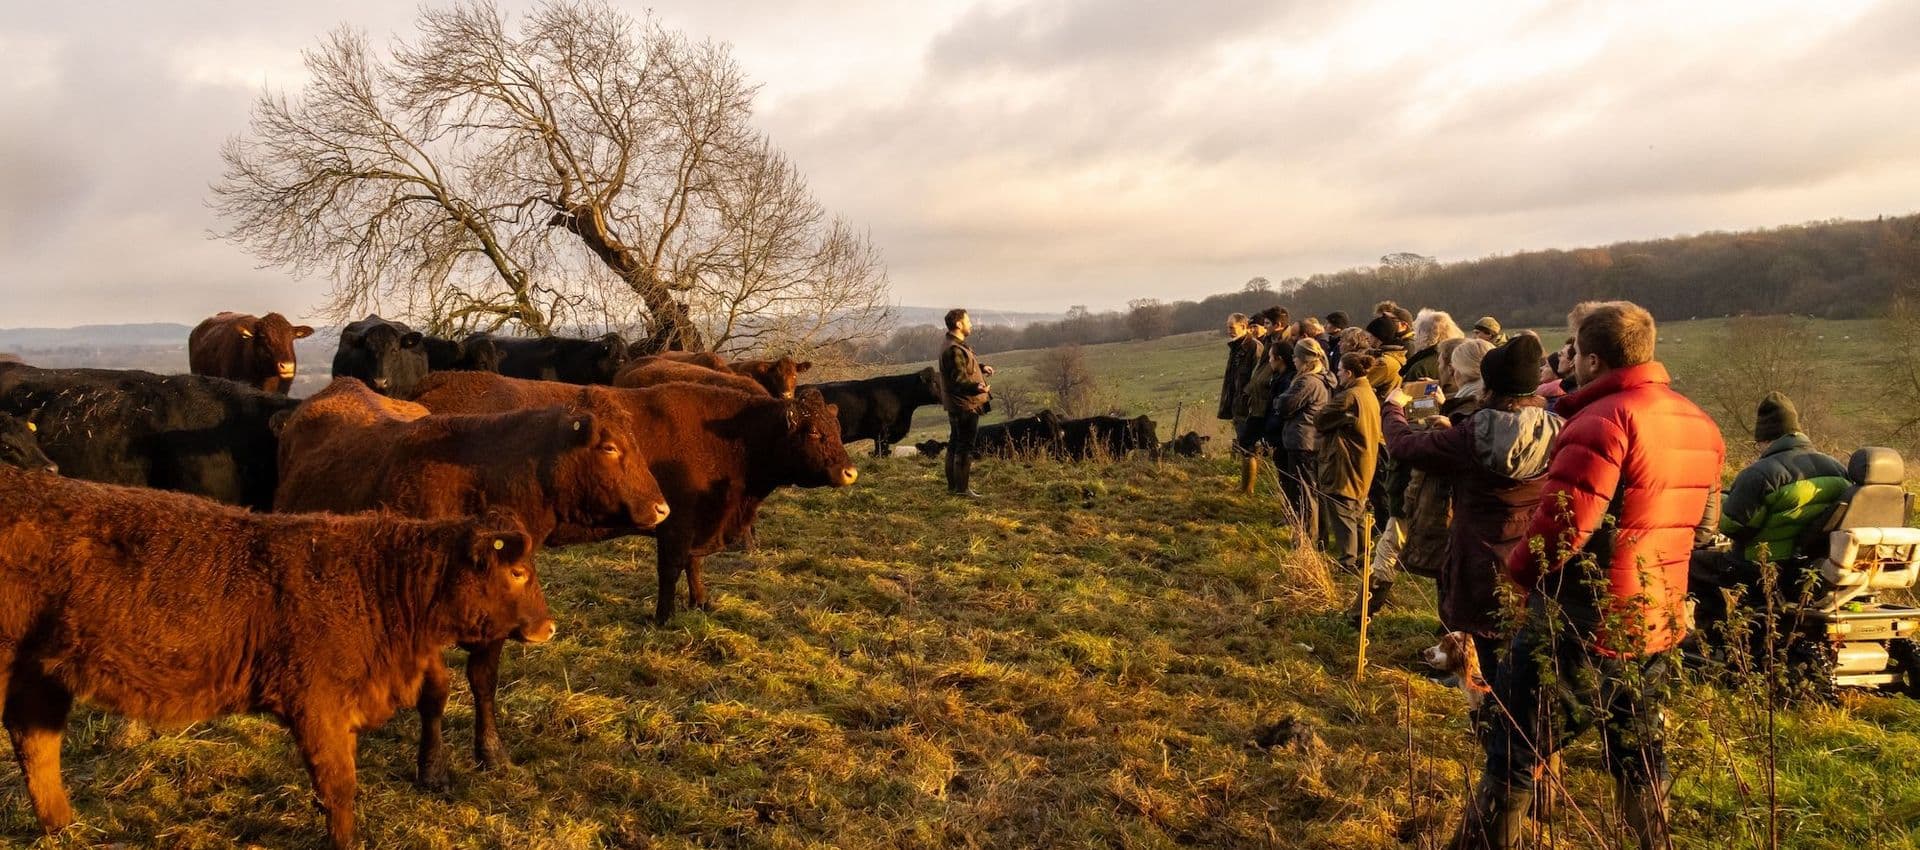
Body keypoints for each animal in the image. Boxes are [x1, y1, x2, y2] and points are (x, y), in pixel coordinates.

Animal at [0, 467, 554, 850]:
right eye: (518, 572)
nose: (548, 627)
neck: (374, 580)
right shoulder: (316, 704)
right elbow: (338, 784)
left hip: (40, 673)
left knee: (36, 742)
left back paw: (64, 825)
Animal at [274, 377, 669, 785]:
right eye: (609, 446)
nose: (662, 508)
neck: (479, 488)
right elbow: (435, 693)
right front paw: (432, 765)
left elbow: (484, 682)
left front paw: (491, 751)